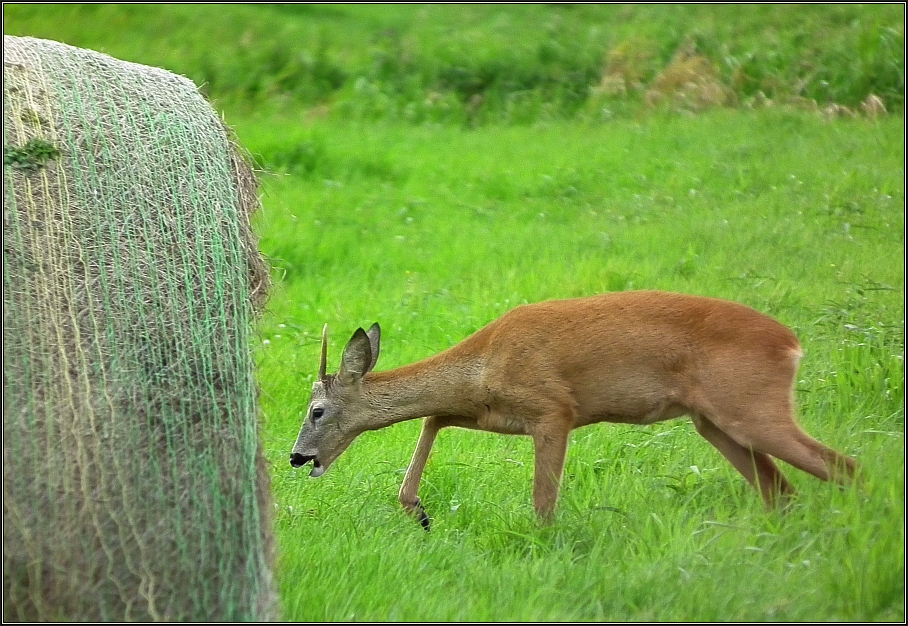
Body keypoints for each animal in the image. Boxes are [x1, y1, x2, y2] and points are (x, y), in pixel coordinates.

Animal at [290, 288, 860, 528]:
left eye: (315, 410)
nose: (297, 457)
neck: (485, 362)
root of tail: (792, 344)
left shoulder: (553, 410)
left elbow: (544, 502)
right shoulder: (489, 413)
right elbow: (433, 416)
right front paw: (418, 510)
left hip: (752, 408)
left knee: (845, 466)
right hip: (715, 422)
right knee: (781, 492)